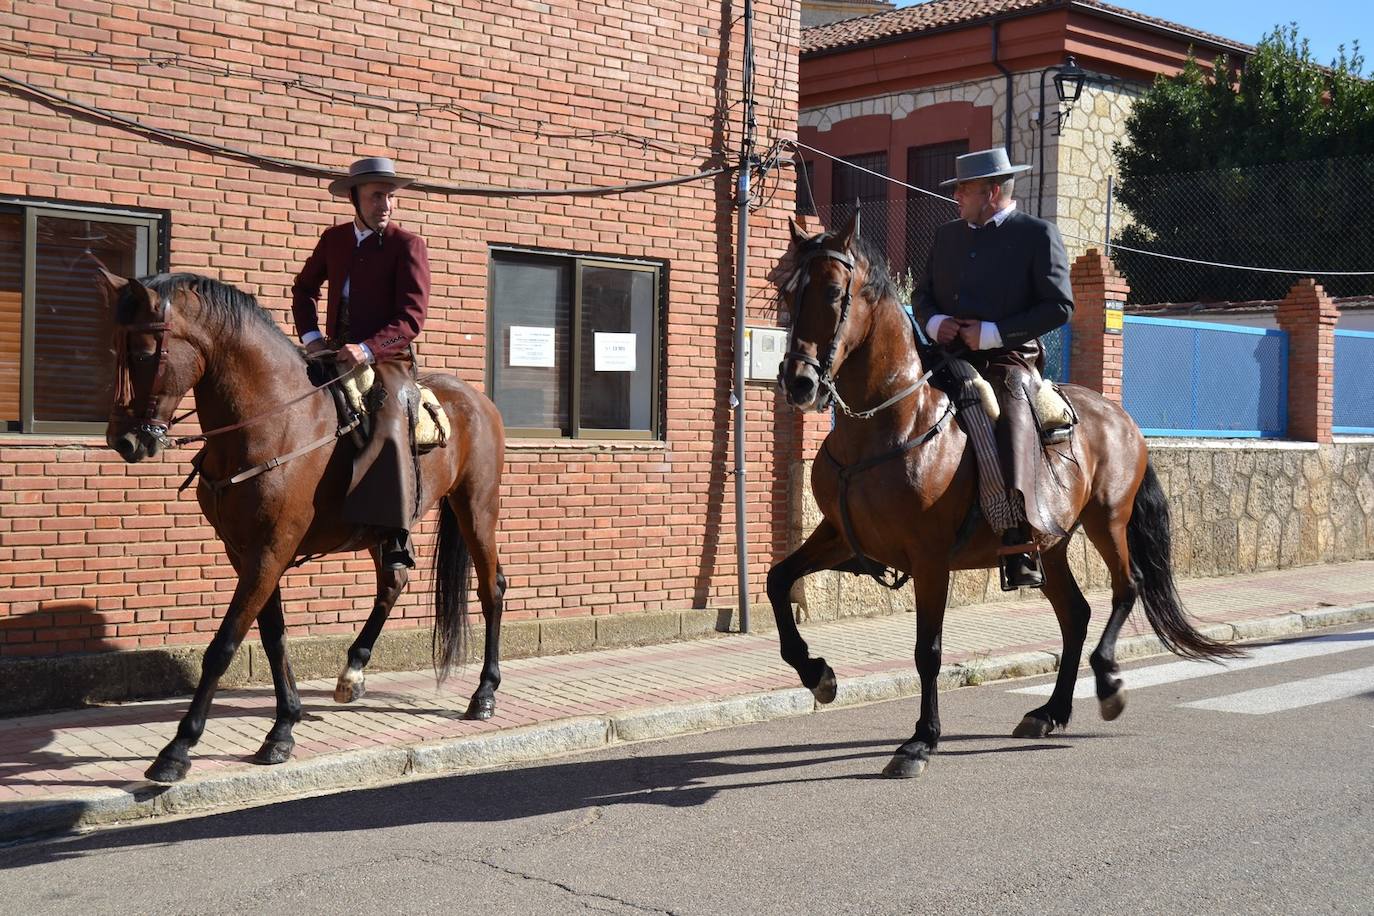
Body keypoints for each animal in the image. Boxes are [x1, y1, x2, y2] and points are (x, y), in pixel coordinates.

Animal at [100, 269, 511, 785]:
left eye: (143, 352)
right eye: (114, 349)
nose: (124, 441)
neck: (272, 421)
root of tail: (476, 398)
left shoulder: (270, 550)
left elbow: (224, 644)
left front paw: (178, 748)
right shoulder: (248, 552)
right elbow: (273, 637)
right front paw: (282, 729)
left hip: (476, 508)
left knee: (491, 589)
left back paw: (484, 693)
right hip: (387, 527)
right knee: (393, 581)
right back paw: (353, 672)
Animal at [769, 216, 1242, 780]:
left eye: (834, 293)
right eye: (785, 291)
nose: (798, 382)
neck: (889, 423)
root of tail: (1119, 414)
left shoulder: (929, 559)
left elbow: (928, 650)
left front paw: (921, 740)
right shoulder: (843, 538)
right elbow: (777, 581)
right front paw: (816, 673)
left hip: (1107, 522)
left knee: (1128, 587)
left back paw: (1107, 682)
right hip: (1051, 545)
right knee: (1076, 615)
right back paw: (1050, 711)